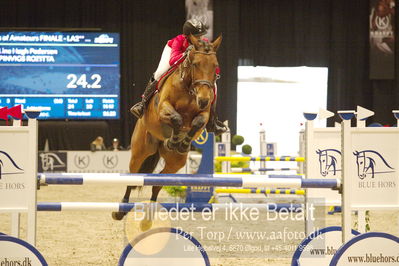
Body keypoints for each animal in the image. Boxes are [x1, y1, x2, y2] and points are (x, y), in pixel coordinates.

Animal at [112, 33, 223, 220]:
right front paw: (174, 140)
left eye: (215, 66)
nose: (203, 100)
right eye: (195, 64)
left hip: (175, 162)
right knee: (133, 176)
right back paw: (121, 210)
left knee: (158, 182)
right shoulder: (163, 108)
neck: (189, 88)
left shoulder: (204, 113)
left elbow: (197, 122)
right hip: (140, 150)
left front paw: (182, 143)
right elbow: (177, 118)